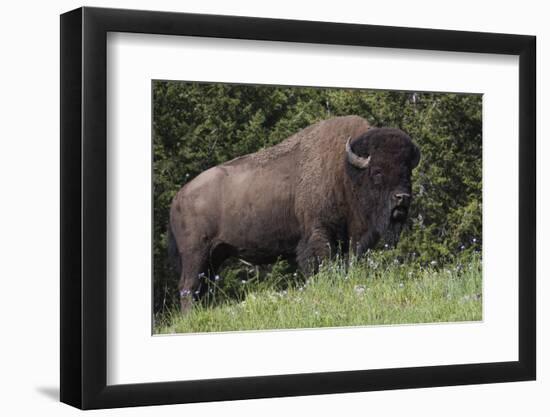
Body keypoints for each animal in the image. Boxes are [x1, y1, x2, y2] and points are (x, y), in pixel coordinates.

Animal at [170, 115, 420, 310]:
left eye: (407, 172)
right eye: (377, 172)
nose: (402, 198)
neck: (345, 172)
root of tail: (179, 196)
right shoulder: (319, 233)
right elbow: (320, 264)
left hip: (215, 255)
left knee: (201, 287)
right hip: (196, 254)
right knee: (188, 286)